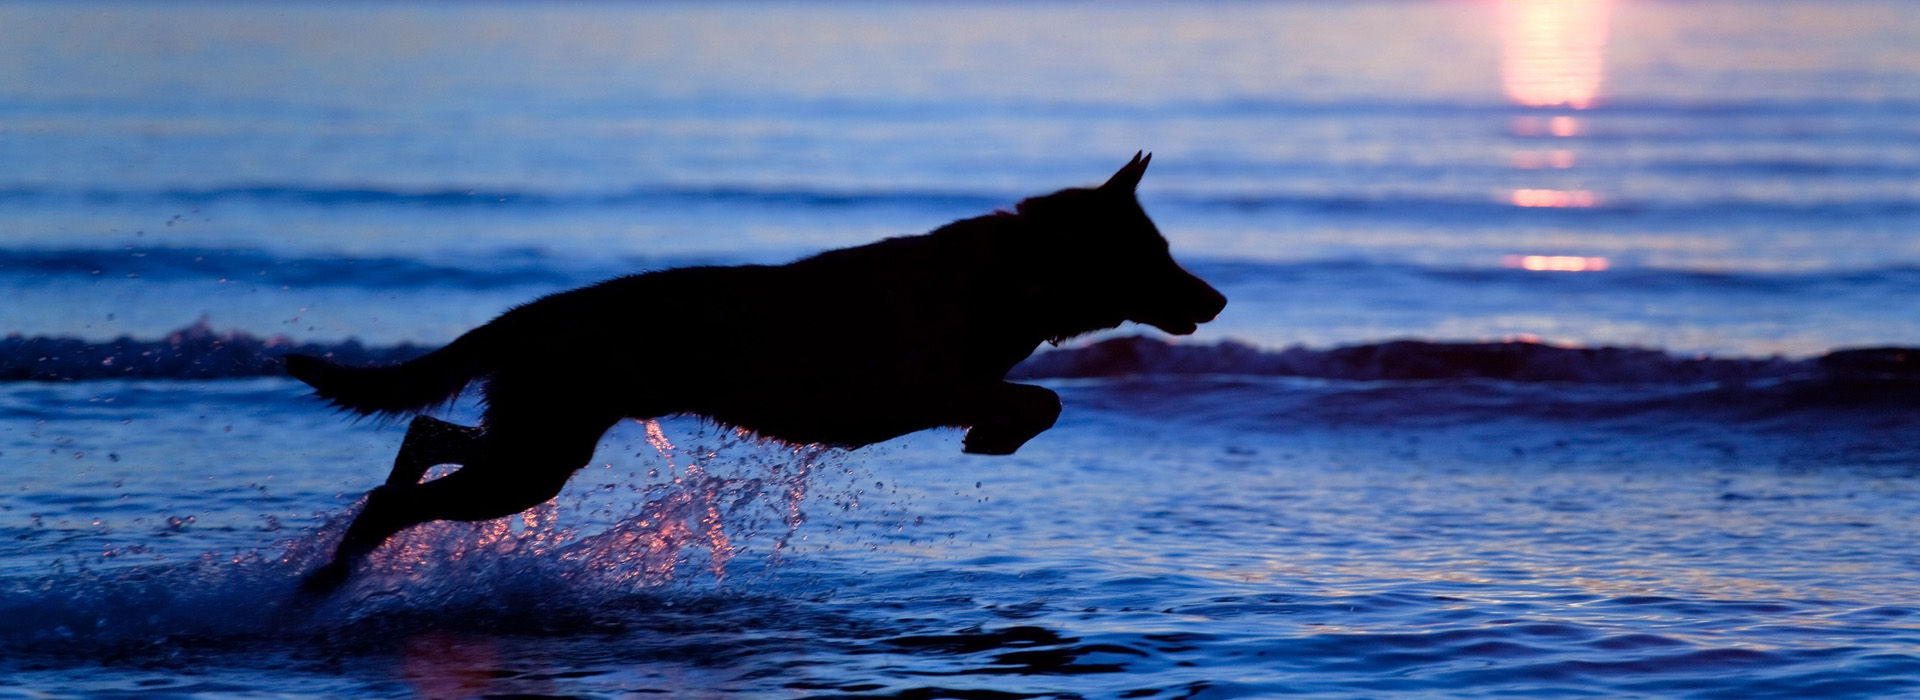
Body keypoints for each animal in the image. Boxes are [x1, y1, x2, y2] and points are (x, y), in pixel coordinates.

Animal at [288, 154, 1213, 590]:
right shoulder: (911, 390)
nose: (1220, 298)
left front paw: (998, 432)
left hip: (530, 446)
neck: (1010, 276)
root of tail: (532, 314)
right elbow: (1041, 397)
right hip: (533, 462)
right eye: (1156, 255)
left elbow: (1039, 398)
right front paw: (997, 434)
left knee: (421, 434)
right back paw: (324, 586)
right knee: (394, 499)